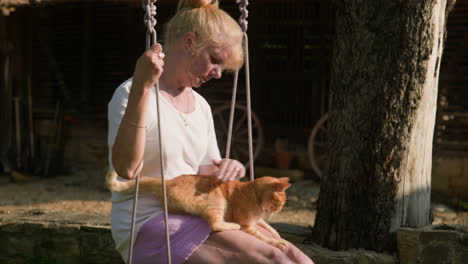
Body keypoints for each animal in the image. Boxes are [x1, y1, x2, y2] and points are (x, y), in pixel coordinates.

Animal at [105, 170, 292, 251]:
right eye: (280, 202)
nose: (280, 210)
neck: (255, 194)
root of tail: (168, 181)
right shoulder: (248, 226)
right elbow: (264, 238)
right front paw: (277, 242)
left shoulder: (257, 221)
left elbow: (268, 227)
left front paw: (277, 234)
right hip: (217, 201)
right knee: (215, 224)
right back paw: (231, 225)